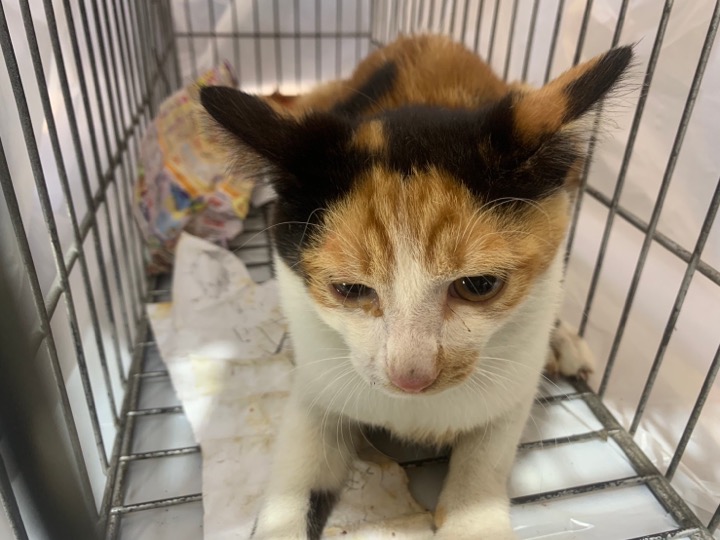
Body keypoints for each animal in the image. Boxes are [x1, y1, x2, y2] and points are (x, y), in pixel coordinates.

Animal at [201, 34, 631, 540]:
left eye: (479, 284)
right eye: (349, 289)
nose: (411, 377)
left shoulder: (515, 381)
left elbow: (489, 449)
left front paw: (473, 520)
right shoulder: (317, 380)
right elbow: (299, 466)